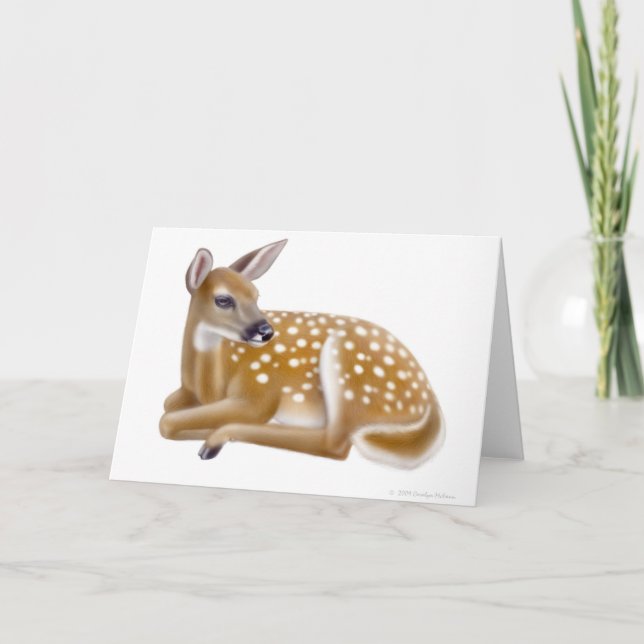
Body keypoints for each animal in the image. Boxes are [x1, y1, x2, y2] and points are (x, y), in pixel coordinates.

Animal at [159, 239, 445, 468]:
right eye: (223, 300)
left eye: (256, 295)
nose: (266, 331)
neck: (208, 386)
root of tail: (429, 398)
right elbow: (166, 407)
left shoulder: (259, 392)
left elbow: (166, 422)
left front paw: (206, 433)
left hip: (346, 369)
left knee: (335, 443)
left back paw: (217, 439)